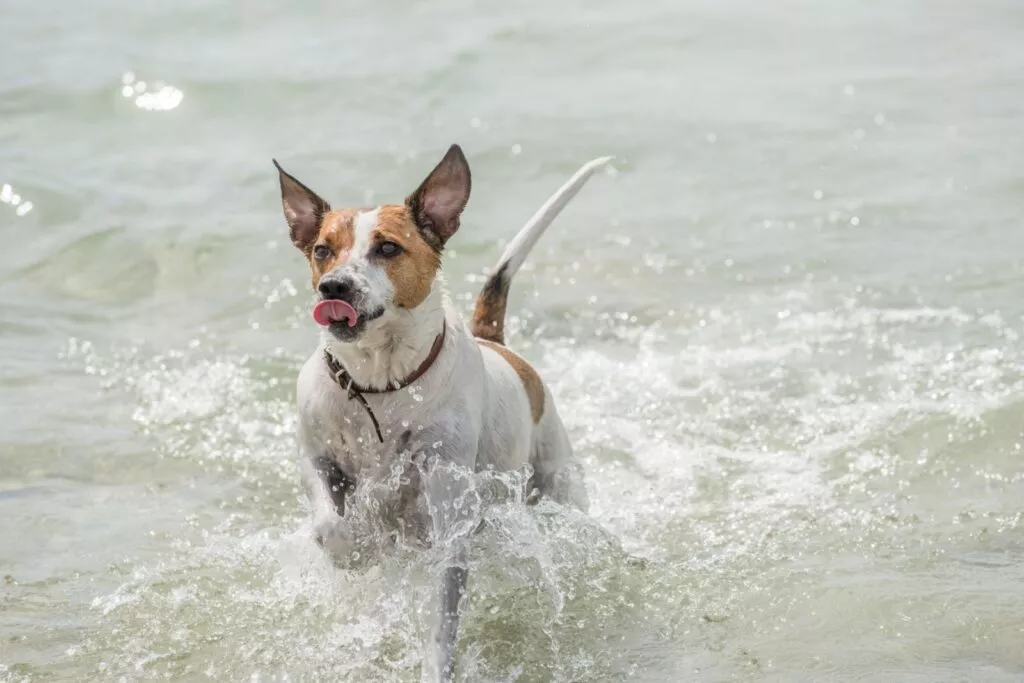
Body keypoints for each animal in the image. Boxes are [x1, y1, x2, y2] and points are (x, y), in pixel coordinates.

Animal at [274, 147, 606, 679]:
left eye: (387, 248)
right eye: (323, 250)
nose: (334, 287)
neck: (381, 383)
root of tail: (498, 343)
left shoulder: (448, 508)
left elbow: (442, 615)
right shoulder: (317, 457)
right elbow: (329, 522)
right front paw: (353, 550)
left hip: (557, 478)